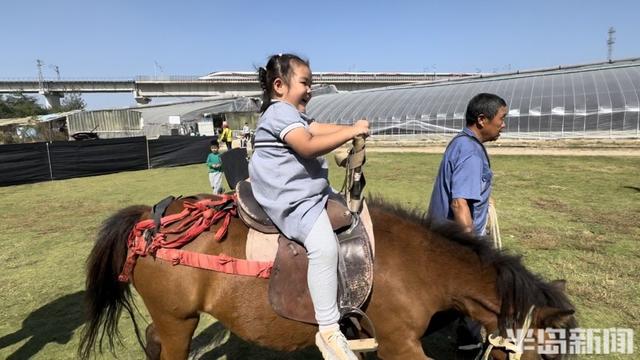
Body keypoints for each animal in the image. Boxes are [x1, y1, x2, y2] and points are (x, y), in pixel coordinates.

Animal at [77, 197, 576, 360]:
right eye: (552, 352)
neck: (421, 267)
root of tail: (150, 219)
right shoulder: (400, 345)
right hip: (178, 320)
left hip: (172, 321)